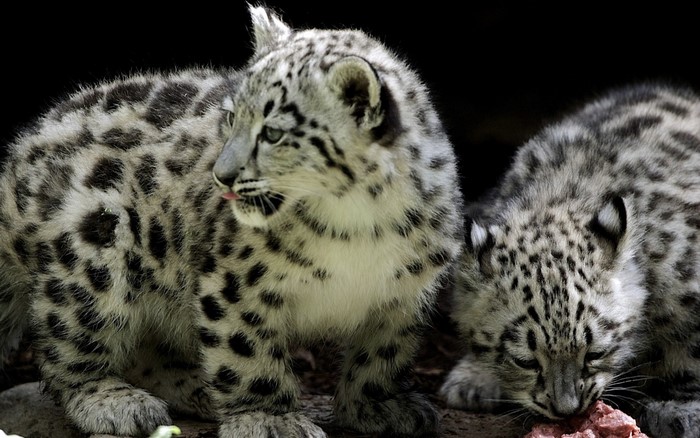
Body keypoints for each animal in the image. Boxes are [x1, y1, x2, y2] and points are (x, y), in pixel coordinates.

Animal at [0, 5, 464, 437]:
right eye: (230, 117)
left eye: (273, 133)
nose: (221, 175)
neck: (358, 222)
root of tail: (18, 154)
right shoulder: (234, 283)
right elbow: (246, 351)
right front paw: (269, 417)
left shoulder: (404, 294)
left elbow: (382, 355)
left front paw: (378, 406)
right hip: (94, 244)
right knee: (68, 344)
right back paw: (113, 401)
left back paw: (195, 390)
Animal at [439, 82, 700, 438]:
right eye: (524, 360)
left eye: (596, 352)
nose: (567, 410)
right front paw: (473, 378)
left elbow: (688, 355)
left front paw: (680, 408)